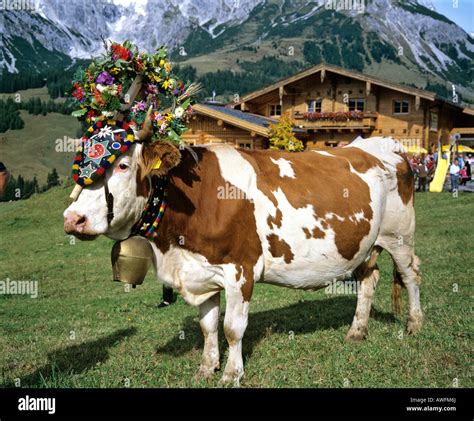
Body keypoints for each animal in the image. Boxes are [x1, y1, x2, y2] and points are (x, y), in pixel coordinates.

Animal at [63, 133, 422, 386]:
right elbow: (208, 327)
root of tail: (382, 143)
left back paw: (415, 324)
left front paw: (231, 374)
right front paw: (206, 368)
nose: (73, 218)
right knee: (369, 280)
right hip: (365, 243)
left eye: (123, 166)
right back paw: (357, 331)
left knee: (411, 275)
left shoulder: (239, 269)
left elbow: (232, 328)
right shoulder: (201, 272)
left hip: (399, 235)